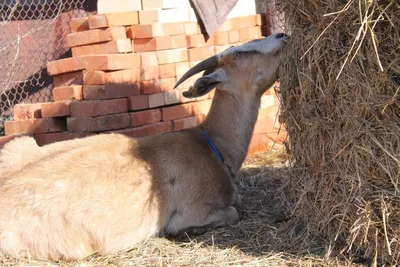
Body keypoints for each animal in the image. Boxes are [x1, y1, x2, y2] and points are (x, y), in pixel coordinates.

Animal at [0, 33, 288, 262]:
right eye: (238, 53)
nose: (282, 35)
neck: (212, 145)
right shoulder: (193, 210)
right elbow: (232, 213)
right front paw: (189, 232)